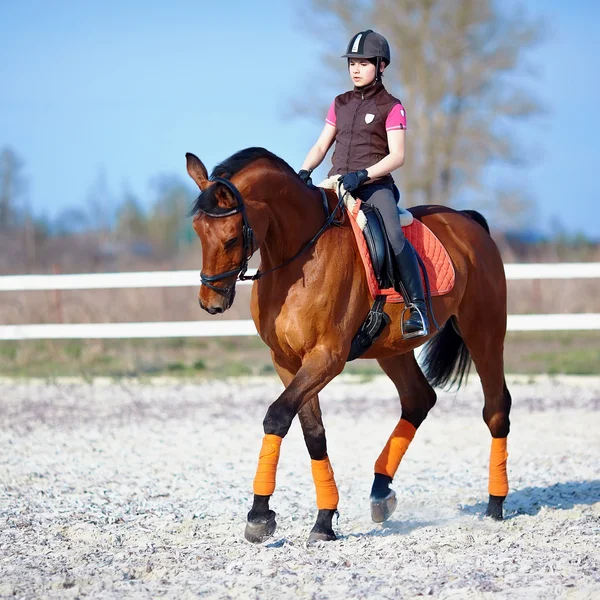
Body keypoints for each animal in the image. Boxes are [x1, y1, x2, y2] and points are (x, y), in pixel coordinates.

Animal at [186, 146, 510, 544]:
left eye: (232, 237)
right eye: (198, 232)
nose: (210, 303)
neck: (296, 257)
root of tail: (467, 221)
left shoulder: (327, 358)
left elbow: (277, 416)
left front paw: (260, 515)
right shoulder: (286, 361)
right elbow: (312, 432)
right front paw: (323, 519)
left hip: (484, 332)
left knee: (495, 408)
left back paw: (495, 505)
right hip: (393, 349)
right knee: (418, 400)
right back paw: (381, 493)